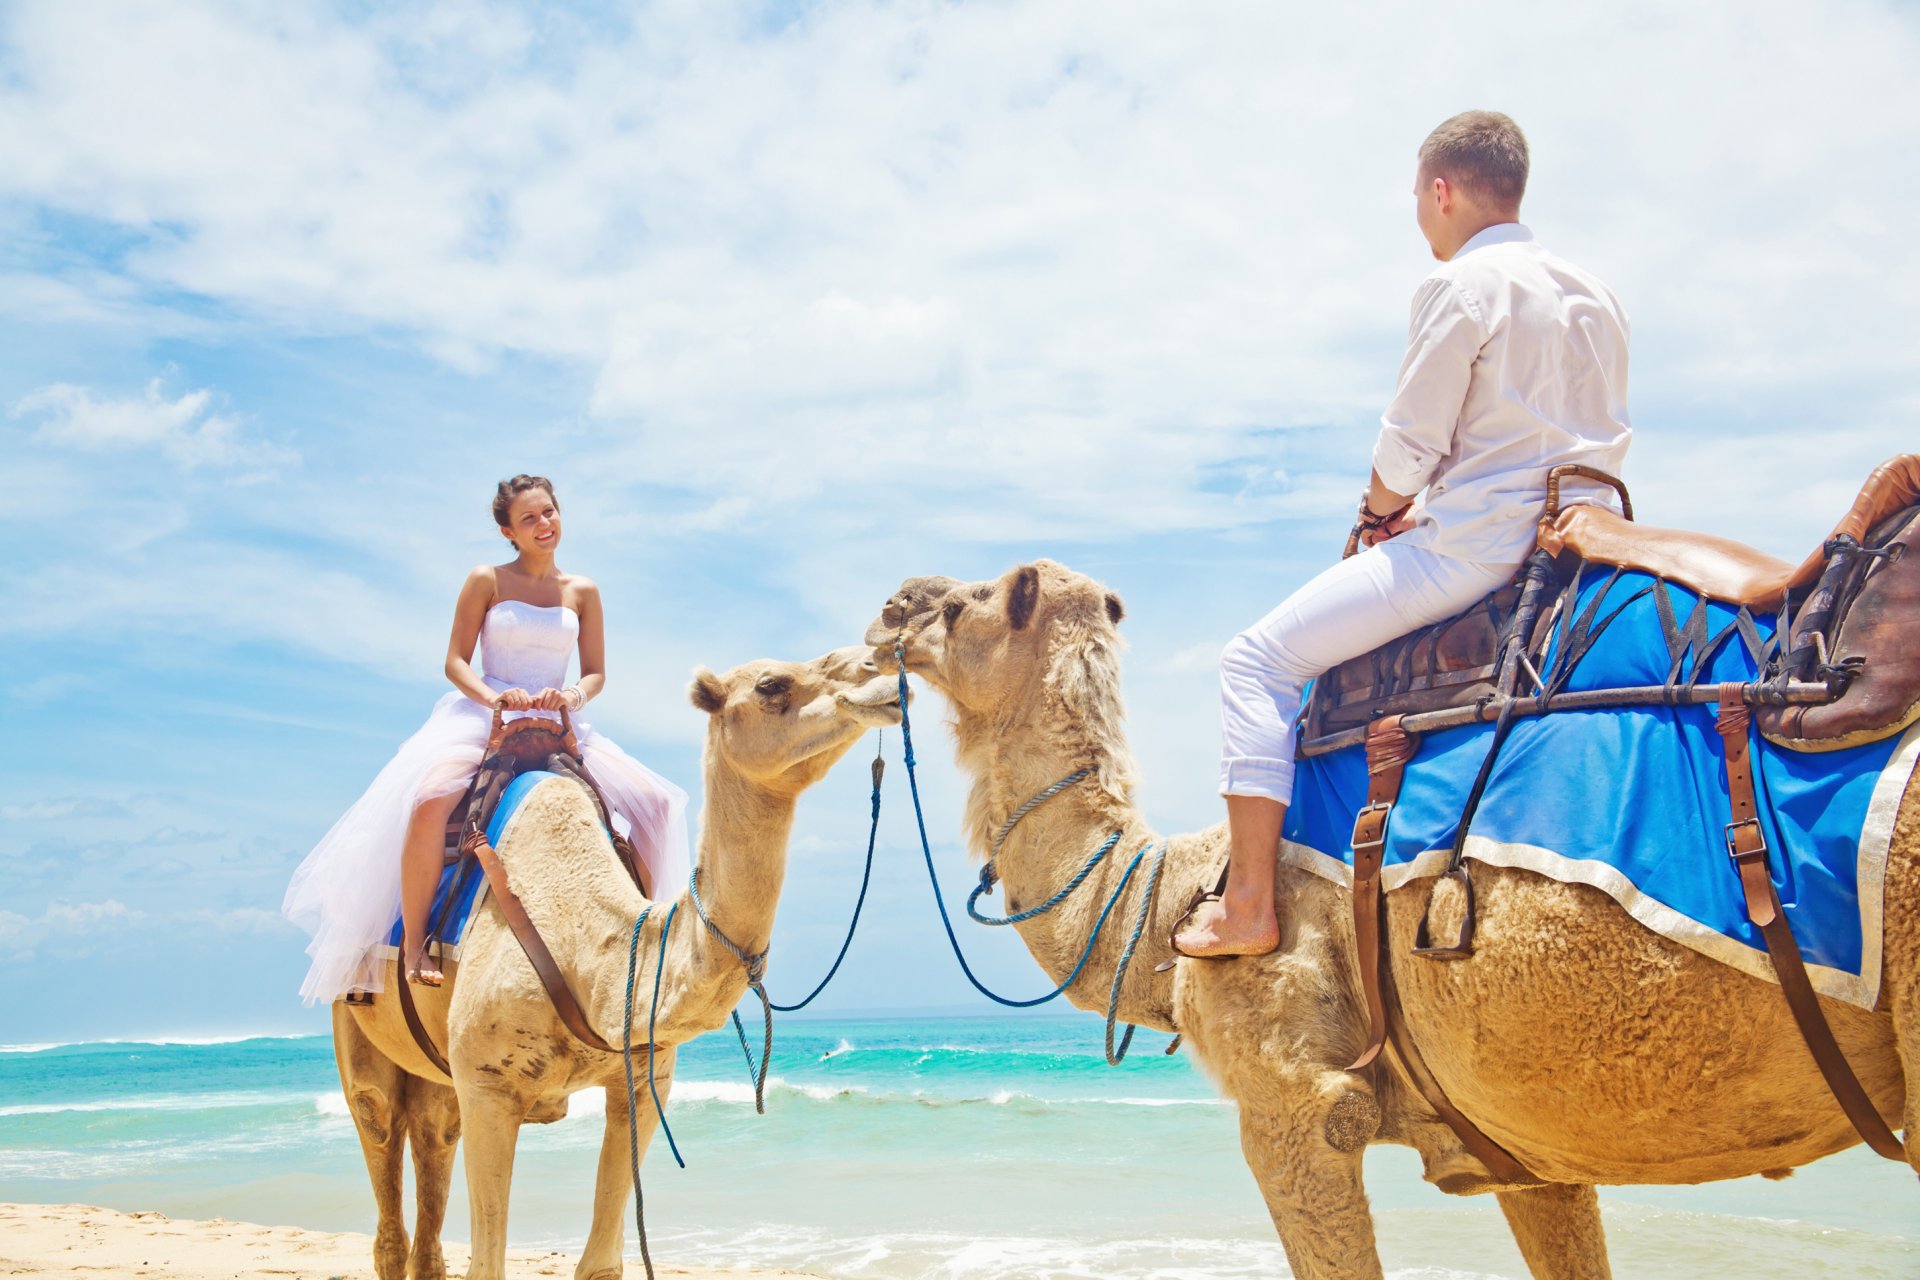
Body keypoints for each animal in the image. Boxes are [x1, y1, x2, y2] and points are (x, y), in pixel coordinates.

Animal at [330, 652, 898, 1280]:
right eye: (772, 685)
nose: (884, 670)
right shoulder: (489, 1086)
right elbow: (488, 1263)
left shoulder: (646, 1082)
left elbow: (601, 1262)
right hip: (358, 1015)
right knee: (379, 1123)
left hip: (442, 1074)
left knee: (434, 1133)